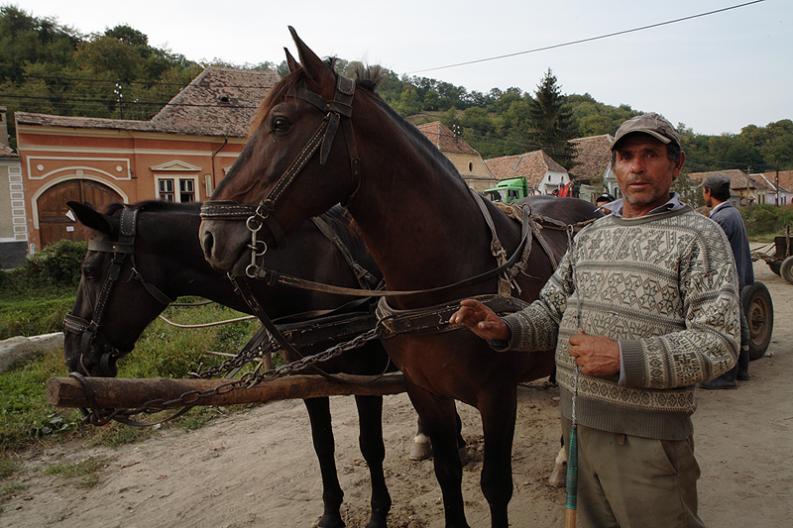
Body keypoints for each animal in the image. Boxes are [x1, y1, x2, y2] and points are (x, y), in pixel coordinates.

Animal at [65, 200, 392, 524]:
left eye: (89, 271)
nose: (72, 355)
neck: (311, 271)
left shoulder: (369, 373)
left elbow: (371, 444)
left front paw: (378, 512)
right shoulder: (311, 378)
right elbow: (323, 443)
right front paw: (331, 513)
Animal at [200, 29, 600, 528]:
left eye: (279, 123)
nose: (210, 234)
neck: (442, 281)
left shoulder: (497, 396)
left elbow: (495, 487)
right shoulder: (424, 391)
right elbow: (447, 473)